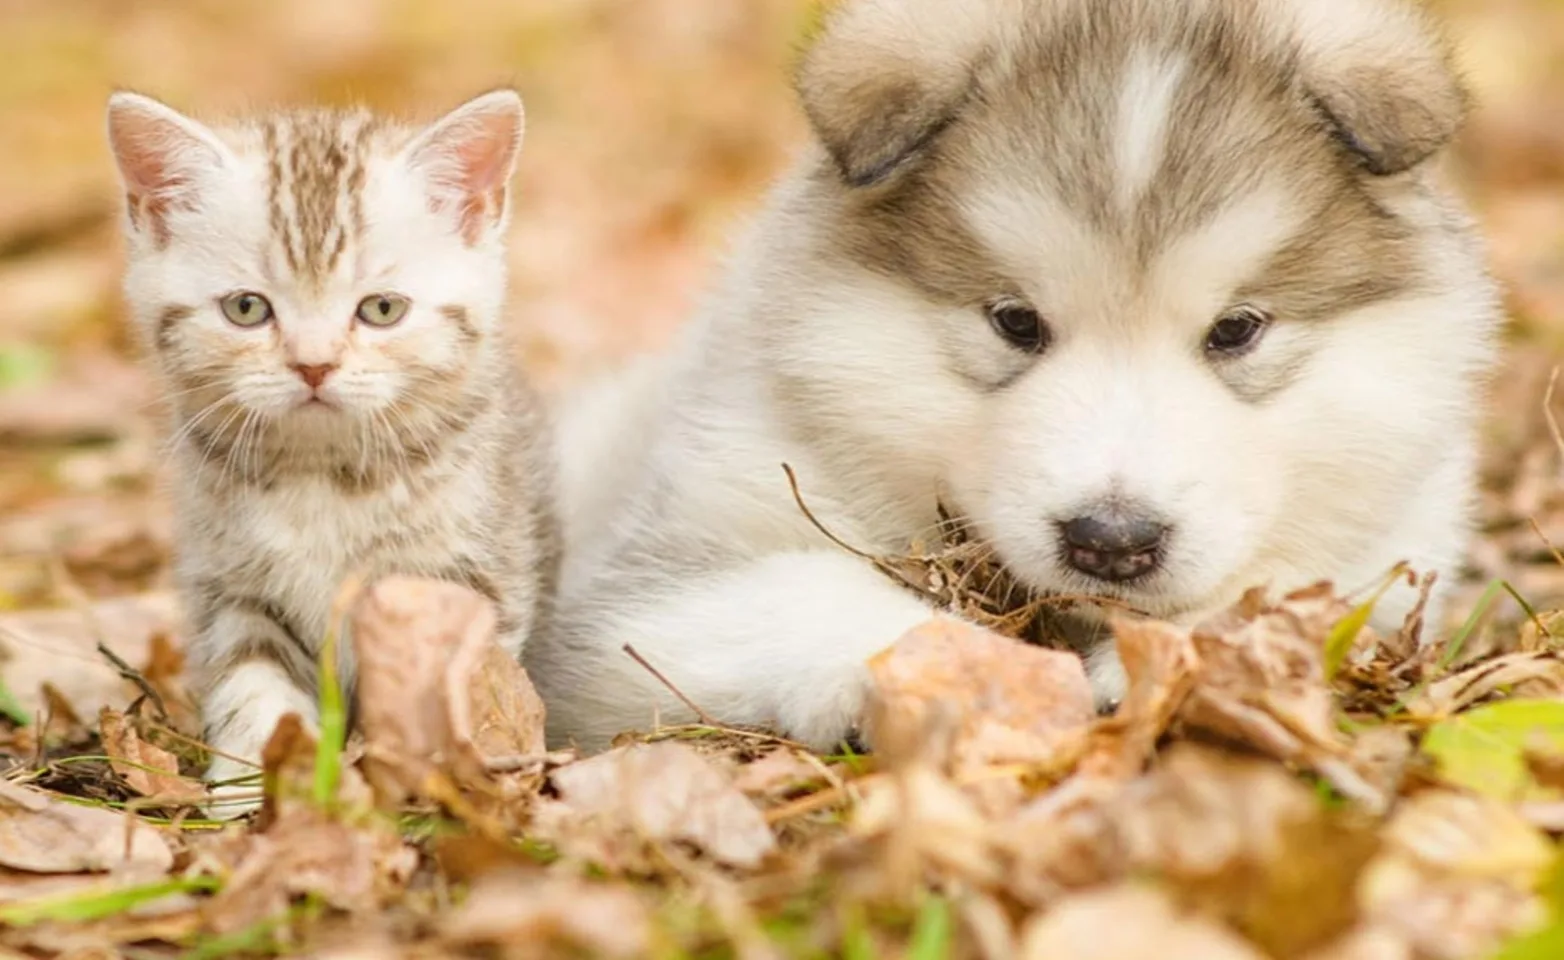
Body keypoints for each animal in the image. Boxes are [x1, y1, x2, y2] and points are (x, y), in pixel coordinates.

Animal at [105, 90, 556, 819]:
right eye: (246, 308)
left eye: (381, 309)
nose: (313, 365)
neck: (322, 475)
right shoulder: (231, 587)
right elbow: (251, 685)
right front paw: (251, 799)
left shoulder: (472, 568)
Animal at [534, 0, 1501, 753]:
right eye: (1015, 322)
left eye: (1236, 330)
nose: (1112, 542)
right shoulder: (641, 596)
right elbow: (810, 589)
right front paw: (973, 669)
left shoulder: (1392, 552)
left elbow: (1286, 587)